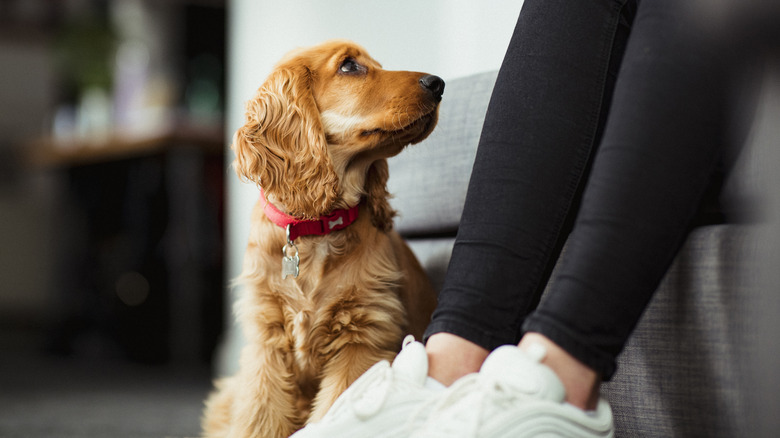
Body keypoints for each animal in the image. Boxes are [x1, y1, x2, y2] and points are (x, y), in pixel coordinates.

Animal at [201, 41, 442, 438]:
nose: (438, 83)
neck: (316, 228)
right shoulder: (266, 342)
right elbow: (259, 416)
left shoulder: (363, 339)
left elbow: (335, 410)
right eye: (349, 66)